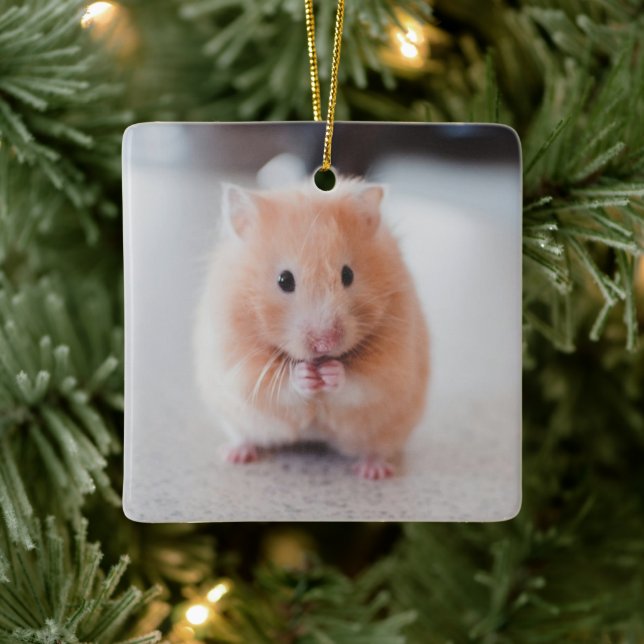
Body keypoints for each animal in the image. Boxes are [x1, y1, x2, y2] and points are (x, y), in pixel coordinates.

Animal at [193, 178, 429, 479]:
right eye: (284, 280)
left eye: (348, 275)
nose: (324, 344)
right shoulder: (239, 363)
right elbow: (277, 385)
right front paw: (305, 375)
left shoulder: (391, 366)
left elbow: (360, 383)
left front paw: (331, 373)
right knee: (244, 436)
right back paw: (235, 454)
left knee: (376, 448)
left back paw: (373, 471)